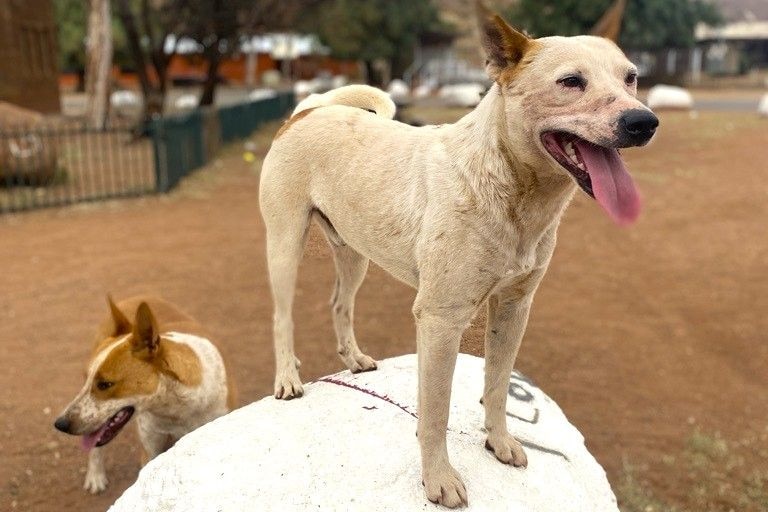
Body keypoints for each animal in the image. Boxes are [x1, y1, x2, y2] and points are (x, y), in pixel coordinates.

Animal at [54, 296, 236, 493]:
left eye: (105, 384)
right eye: (87, 378)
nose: (60, 424)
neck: (176, 409)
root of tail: (136, 297)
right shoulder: (150, 448)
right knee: (95, 448)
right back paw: (95, 476)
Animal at [259, 2, 657, 507]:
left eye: (631, 77)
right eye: (571, 81)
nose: (644, 122)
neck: (510, 188)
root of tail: (308, 111)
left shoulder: (514, 308)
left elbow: (498, 385)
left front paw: (500, 441)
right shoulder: (440, 319)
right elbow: (436, 411)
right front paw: (439, 479)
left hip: (355, 252)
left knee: (339, 303)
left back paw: (354, 358)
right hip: (285, 244)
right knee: (281, 317)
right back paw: (287, 379)